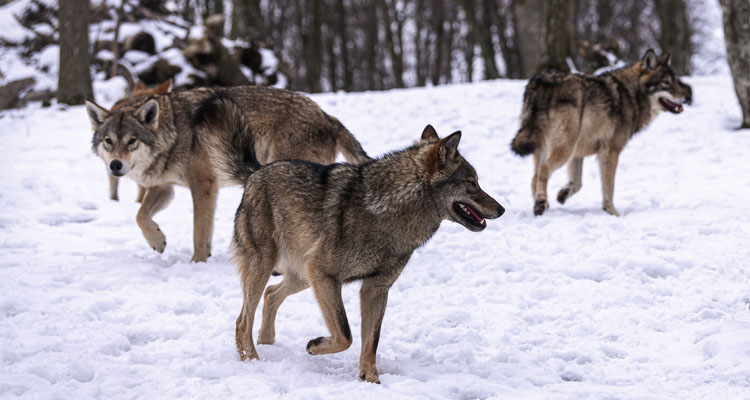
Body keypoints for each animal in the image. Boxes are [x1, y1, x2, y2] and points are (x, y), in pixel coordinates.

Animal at [86, 86, 372, 262]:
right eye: (109, 141)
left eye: (131, 141)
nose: (115, 166)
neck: (173, 133)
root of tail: (327, 116)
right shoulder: (164, 187)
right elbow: (140, 216)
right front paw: (158, 241)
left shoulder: (204, 185)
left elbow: (199, 232)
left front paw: (197, 261)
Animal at [235, 125, 506, 382]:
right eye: (472, 183)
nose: (502, 209)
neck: (386, 212)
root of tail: (256, 173)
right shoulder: (325, 274)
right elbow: (346, 335)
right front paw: (315, 346)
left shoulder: (374, 289)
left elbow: (371, 341)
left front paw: (371, 378)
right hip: (273, 267)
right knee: (242, 320)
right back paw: (251, 360)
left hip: (303, 276)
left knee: (270, 295)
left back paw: (267, 342)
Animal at [512, 50, 692, 219]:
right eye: (666, 83)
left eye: (676, 81)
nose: (688, 96)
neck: (631, 95)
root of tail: (540, 82)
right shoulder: (610, 151)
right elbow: (608, 187)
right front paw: (612, 212)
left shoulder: (578, 153)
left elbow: (577, 183)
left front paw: (562, 194)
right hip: (564, 149)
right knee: (543, 170)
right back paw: (540, 204)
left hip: (548, 147)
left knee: (534, 177)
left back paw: (542, 204)